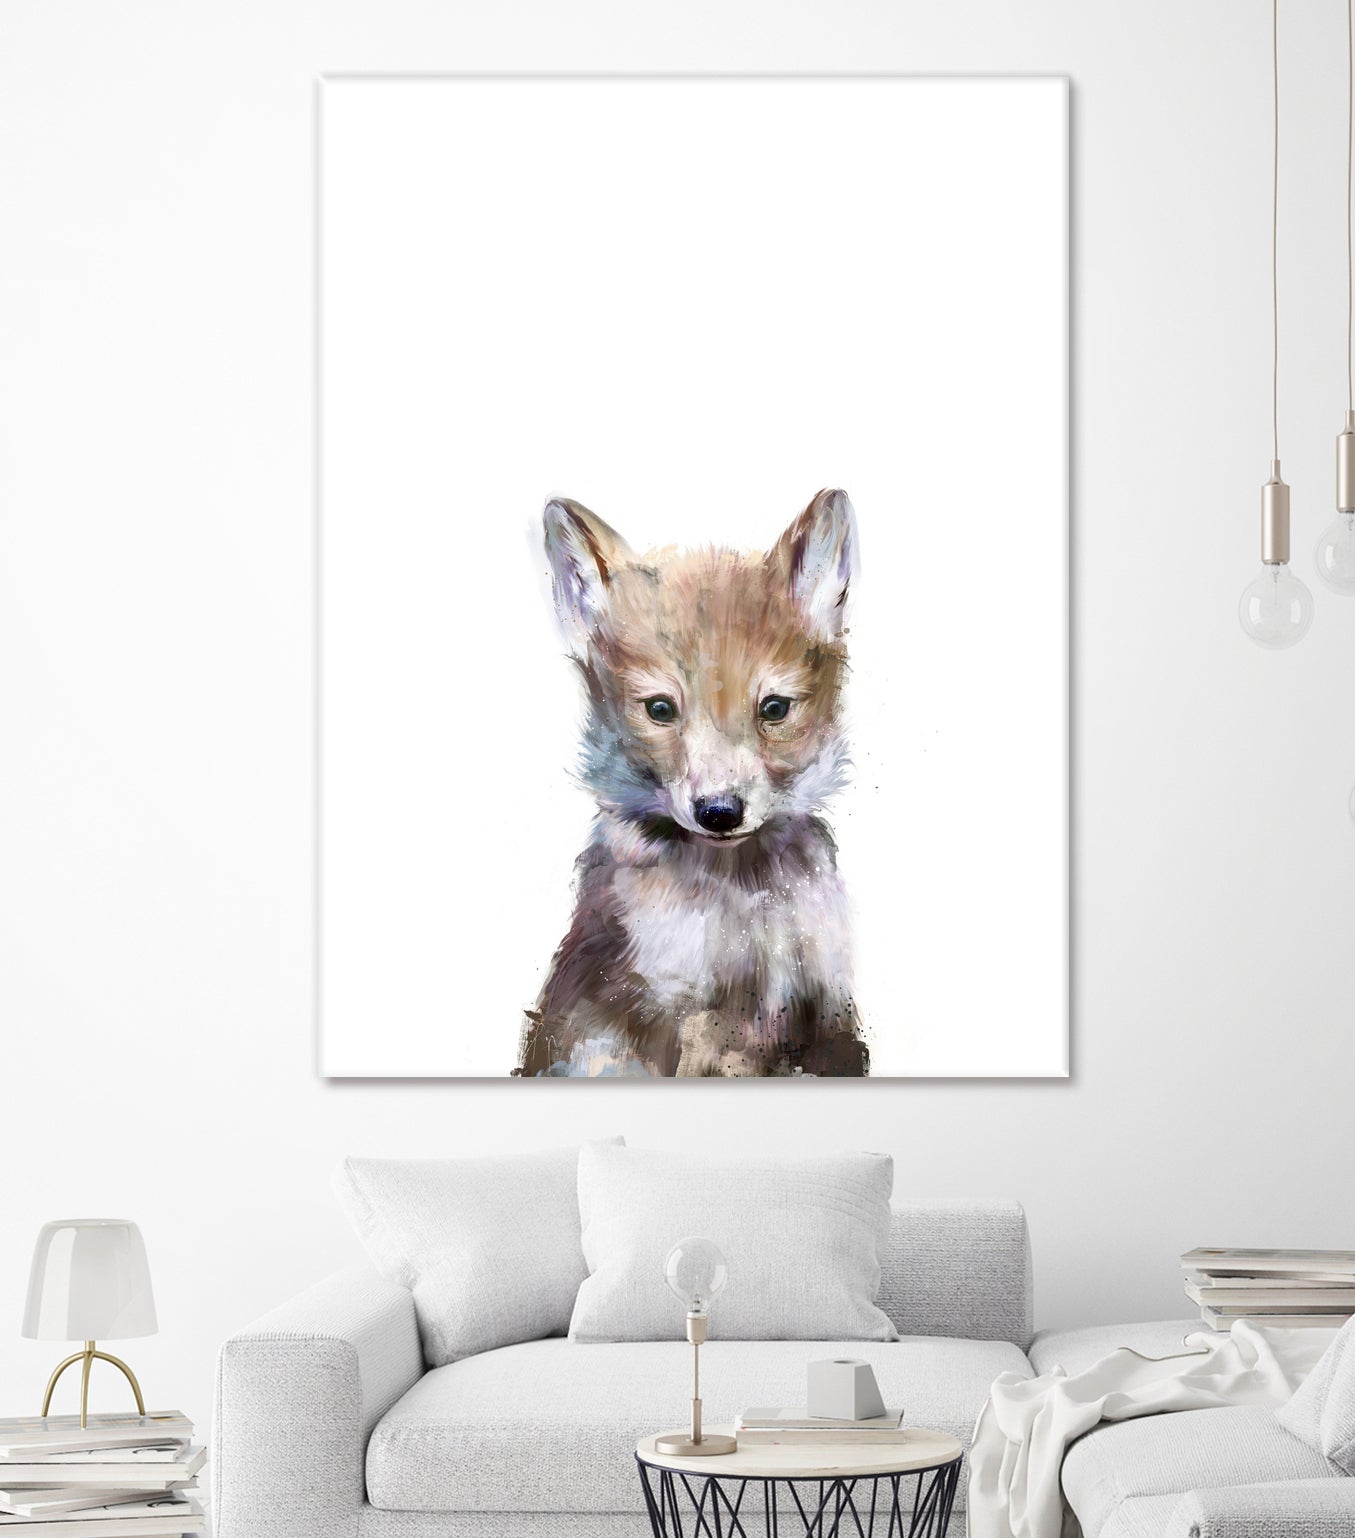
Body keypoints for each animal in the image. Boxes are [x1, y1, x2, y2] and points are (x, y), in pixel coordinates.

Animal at [515, 489, 867, 1078]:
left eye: (774, 708)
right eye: (660, 709)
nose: (719, 813)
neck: (742, 906)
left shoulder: (825, 1010)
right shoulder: (678, 1016)